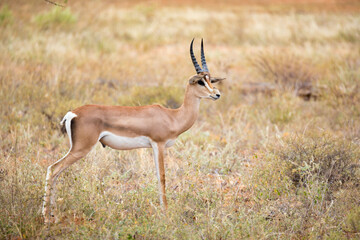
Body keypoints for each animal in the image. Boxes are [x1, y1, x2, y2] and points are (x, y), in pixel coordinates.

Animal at [42, 38, 225, 222]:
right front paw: (165, 213)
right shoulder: (158, 144)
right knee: (53, 169)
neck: (173, 116)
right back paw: (46, 217)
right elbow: (162, 177)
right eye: (200, 81)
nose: (217, 94)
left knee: (56, 172)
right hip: (81, 148)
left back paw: (53, 214)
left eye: (211, 80)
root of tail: (72, 113)